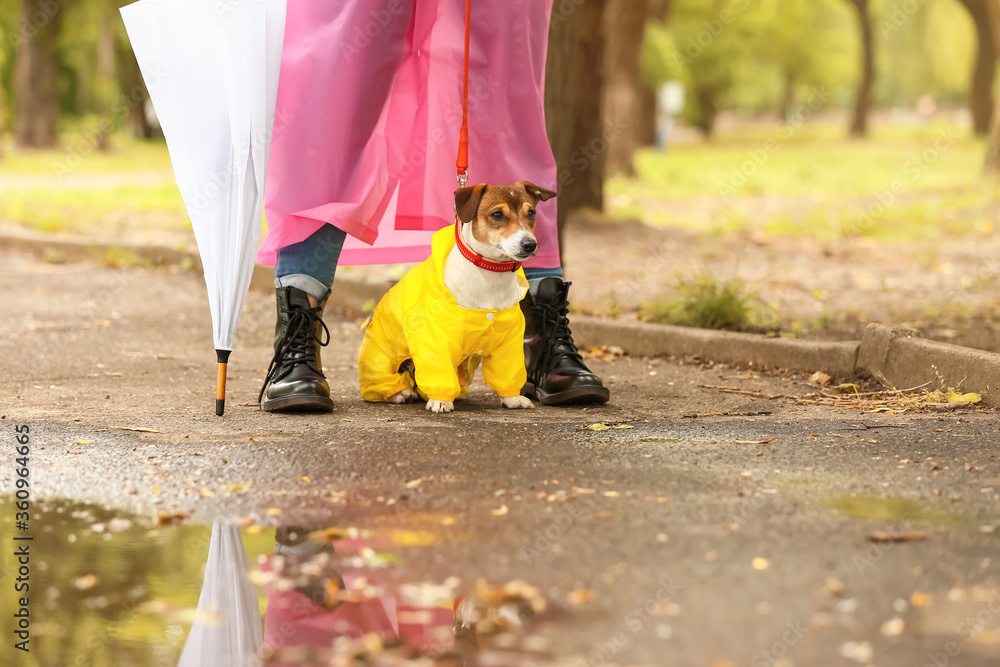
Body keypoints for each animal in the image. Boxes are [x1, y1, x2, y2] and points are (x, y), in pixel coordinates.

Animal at [356, 183, 556, 412]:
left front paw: (513, 398)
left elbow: (507, 372)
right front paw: (440, 399)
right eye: (497, 215)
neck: (490, 273)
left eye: (531, 213)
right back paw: (402, 392)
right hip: (383, 359)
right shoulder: (435, 338)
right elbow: (438, 369)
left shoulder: (509, 340)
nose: (529, 244)